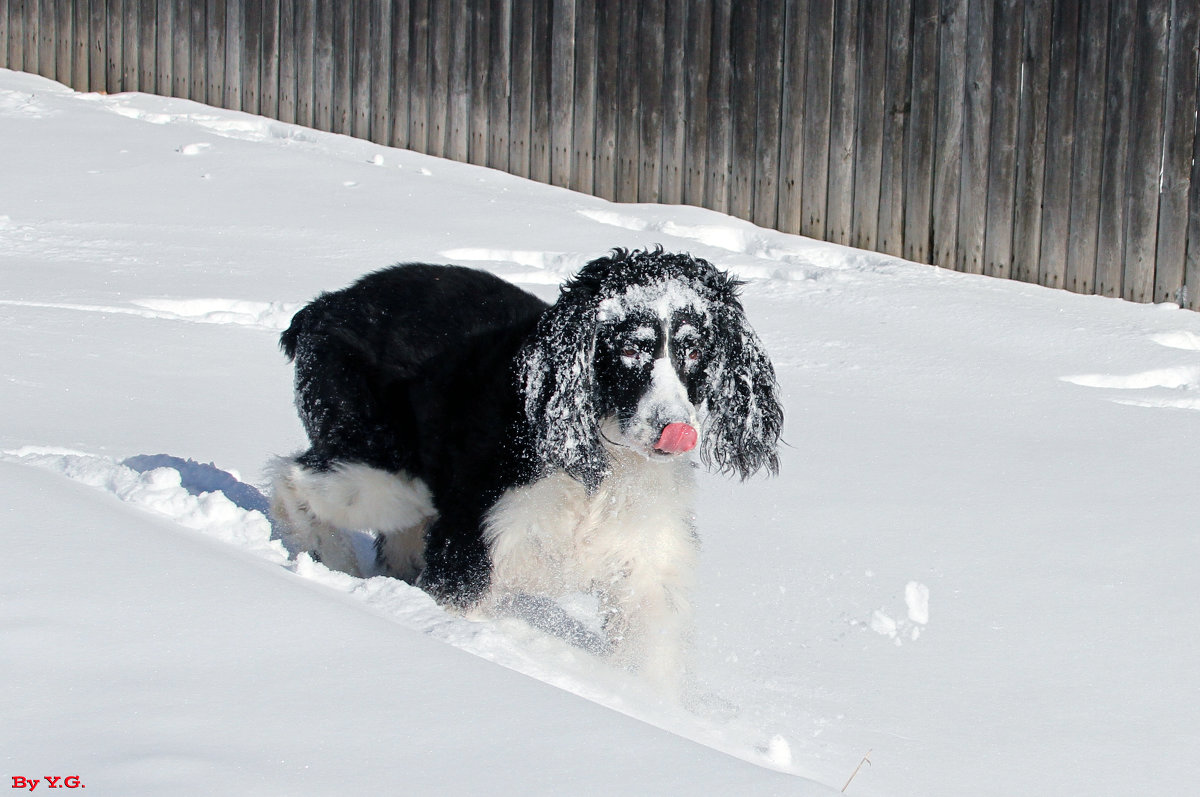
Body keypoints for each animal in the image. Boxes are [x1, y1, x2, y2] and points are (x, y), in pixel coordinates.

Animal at [267, 249, 782, 686]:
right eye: (630, 349)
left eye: (694, 351)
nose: (675, 430)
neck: (603, 462)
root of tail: (324, 306)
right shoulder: (481, 542)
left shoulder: (646, 562)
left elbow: (650, 649)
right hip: (384, 468)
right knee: (294, 479)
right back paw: (333, 566)